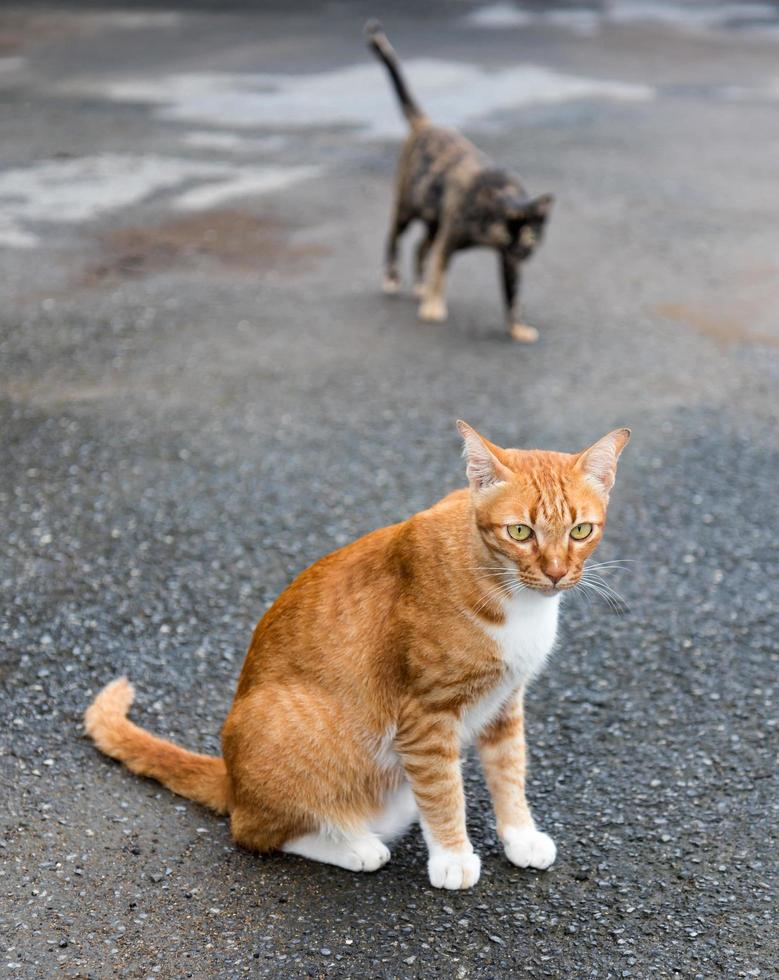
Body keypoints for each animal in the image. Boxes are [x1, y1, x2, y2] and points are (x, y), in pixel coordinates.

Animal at [88, 422, 632, 888]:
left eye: (581, 531)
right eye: (520, 532)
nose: (557, 572)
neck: (514, 598)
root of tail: (231, 779)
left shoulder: (505, 702)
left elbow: (509, 772)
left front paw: (519, 835)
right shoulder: (426, 719)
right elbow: (445, 792)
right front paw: (454, 857)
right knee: (255, 831)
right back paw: (354, 846)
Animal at [368, 19, 556, 342]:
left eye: (530, 234)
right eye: (507, 233)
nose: (520, 251)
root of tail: (426, 123)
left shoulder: (507, 262)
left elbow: (513, 298)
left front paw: (516, 329)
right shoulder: (450, 239)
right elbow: (440, 276)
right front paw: (433, 308)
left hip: (434, 221)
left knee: (420, 248)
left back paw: (419, 287)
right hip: (408, 208)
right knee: (394, 237)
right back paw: (393, 278)